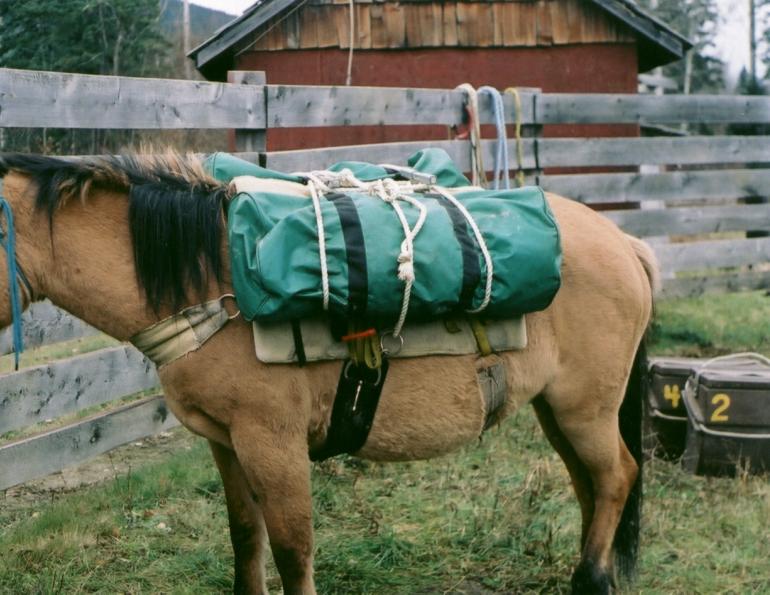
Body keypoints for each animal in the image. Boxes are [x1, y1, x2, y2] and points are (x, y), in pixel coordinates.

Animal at [0, 152, 657, 595]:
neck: (213, 285)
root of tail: (626, 244)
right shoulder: (225, 443)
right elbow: (245, 537)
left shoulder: (273, 443)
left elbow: (293, 550)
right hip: (557, 410)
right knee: (590, 485)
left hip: (585, 408)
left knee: (617, 477)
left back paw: (591, 579)